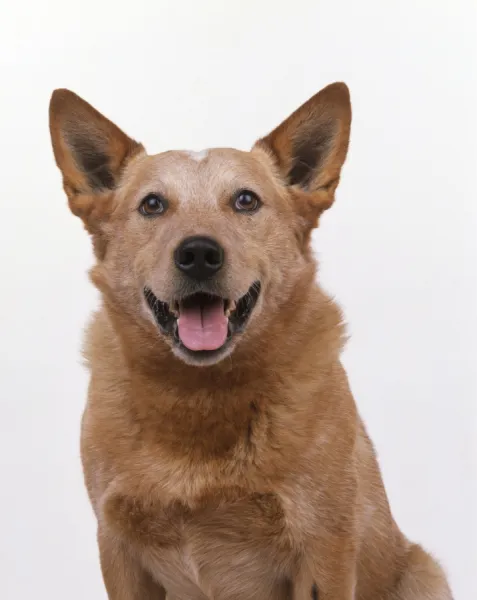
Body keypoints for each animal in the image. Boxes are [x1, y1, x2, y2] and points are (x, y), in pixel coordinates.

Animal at [49, 81, 454, 600]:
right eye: (152, 205)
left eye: (245, 200)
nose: (199, 253)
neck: (199, 399)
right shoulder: (117, 545)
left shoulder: (324, 547)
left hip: (424, 571)